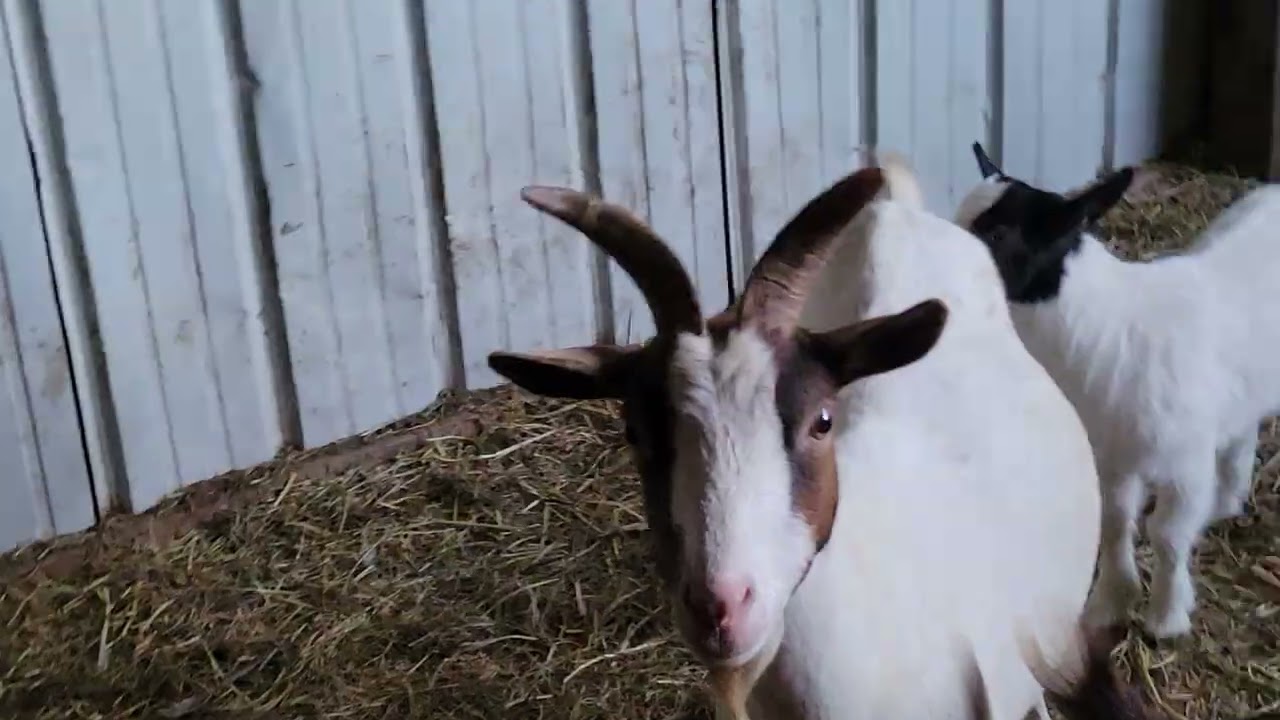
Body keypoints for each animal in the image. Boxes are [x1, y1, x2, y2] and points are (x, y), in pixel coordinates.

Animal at [955, 141, 1279, 638]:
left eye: (999, 234)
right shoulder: (1112, 459)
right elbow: (1114, 523)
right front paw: (1109, 601)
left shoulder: (1185, 464)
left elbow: (1166, 536)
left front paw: (1166, 617)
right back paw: (1226, 501)